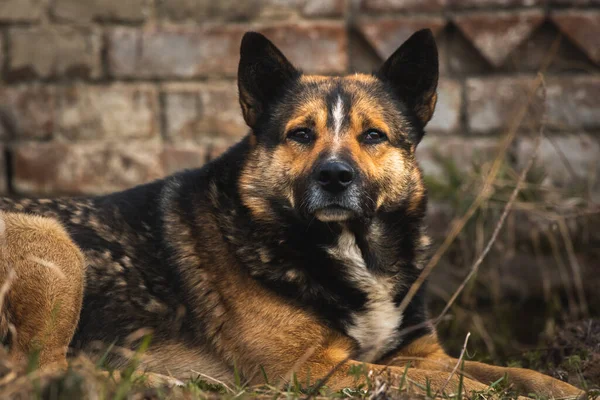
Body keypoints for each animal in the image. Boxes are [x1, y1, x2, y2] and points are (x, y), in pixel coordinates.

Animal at [0, 29, 584, 398]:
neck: (351, 247)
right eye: (301, 134)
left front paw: (563, 387)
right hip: (54, 246)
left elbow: (503, 370)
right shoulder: (313, 369)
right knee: (36, 372)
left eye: (374, 136)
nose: (334, 176)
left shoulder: (420, 350)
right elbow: (435, 382)